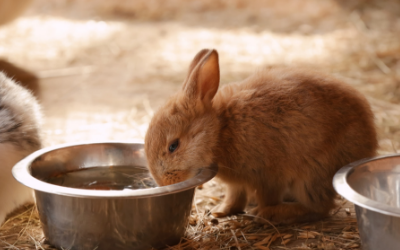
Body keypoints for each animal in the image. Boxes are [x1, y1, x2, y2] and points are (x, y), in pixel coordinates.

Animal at [145, 48, 378, 225]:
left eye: (173, 146)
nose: (164, 182)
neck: (221, 130)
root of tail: (369, 144)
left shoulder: (268, 176)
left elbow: (267, 197)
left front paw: (262, 213)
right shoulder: (237, 184)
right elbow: (235, 196)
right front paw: (221, 210)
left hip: (312, 174)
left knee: (319, 207)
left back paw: (275, 214)